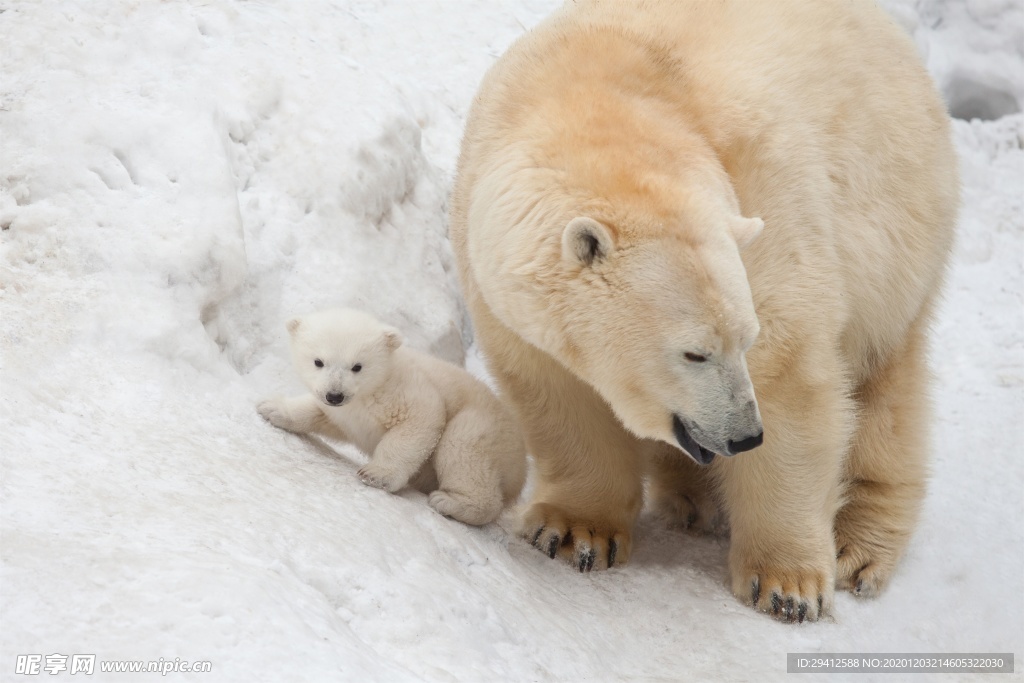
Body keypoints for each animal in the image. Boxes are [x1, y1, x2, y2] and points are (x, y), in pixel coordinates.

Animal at [452, 0, 954, 618]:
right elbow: (559, 392)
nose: (744, 435)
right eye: (694, 353)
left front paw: (787, 585)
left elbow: (792, 380)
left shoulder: (765, 215)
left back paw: (858, 547)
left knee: (883, 390)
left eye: (745, 338)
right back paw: (690, 499)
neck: (603, 112)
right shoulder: (500, 279)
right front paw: (575, 532)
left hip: (896, 227)